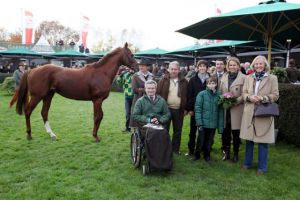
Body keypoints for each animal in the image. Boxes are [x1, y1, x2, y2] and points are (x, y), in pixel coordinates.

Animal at [9, 43, 138, 141]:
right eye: (131, 54)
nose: (137, 67)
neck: (101, 73)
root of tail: (32, 70)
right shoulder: (97, 100)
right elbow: (98, 117)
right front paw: (95, 137)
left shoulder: (97, 101)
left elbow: (97, 117)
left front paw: (95, 135)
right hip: (37, 96)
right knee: (28, 111)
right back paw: (29, 135)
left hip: (48, 96)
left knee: (44, 113)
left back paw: (52, 134)